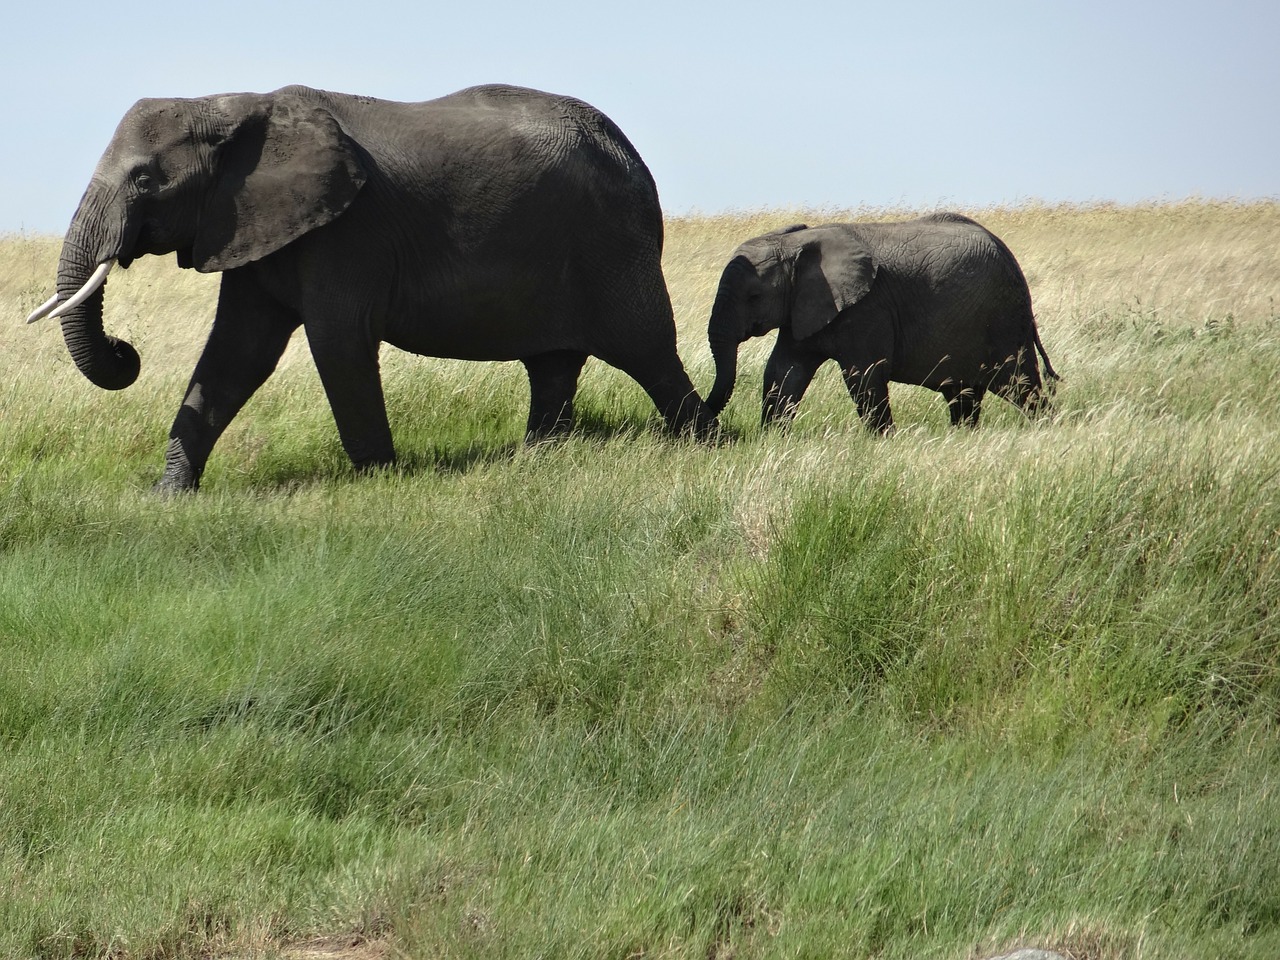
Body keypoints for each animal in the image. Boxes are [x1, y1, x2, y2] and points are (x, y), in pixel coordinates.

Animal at [27, 83, 711, 491]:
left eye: (145, 180)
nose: (126, 350)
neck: (231, 105)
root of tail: (631, 154)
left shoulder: (347, 232)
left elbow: (337, 342)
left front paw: (382, 481)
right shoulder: (250, 223)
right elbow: (237, 352)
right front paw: (170, 494)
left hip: (612, 245)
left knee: (647, 348)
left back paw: (701, 441)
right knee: (553, 364)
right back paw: (537, 460)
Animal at [701, 216, 1059, 435]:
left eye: (754, 296)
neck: (795, 242)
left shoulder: (866, 308)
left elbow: (863, 375)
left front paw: (883, 440)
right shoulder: (803, 308)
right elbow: (784, 371)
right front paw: (774, 437)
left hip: (1004, 319)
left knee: (1022, 385)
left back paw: (1046, 429)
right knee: (964, 396)